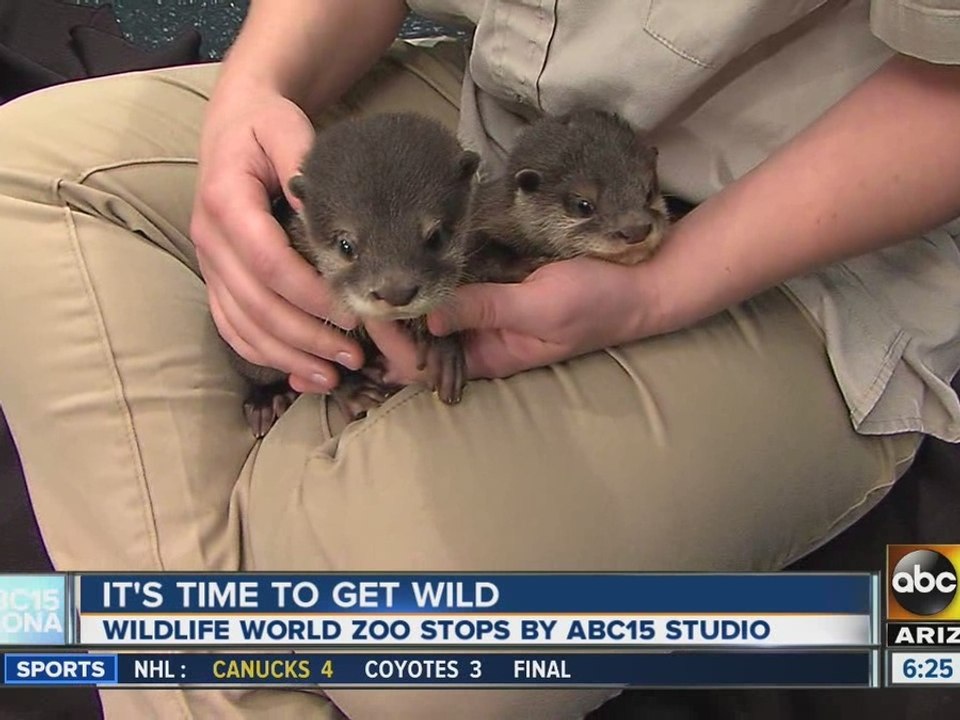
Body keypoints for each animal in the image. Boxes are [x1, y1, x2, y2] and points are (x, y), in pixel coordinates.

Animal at [230, 112, 480, 437]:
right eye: (346, 245)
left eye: (435, 237)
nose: (396, 291)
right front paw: (353, 391)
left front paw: (442, 347)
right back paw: (267, 399)